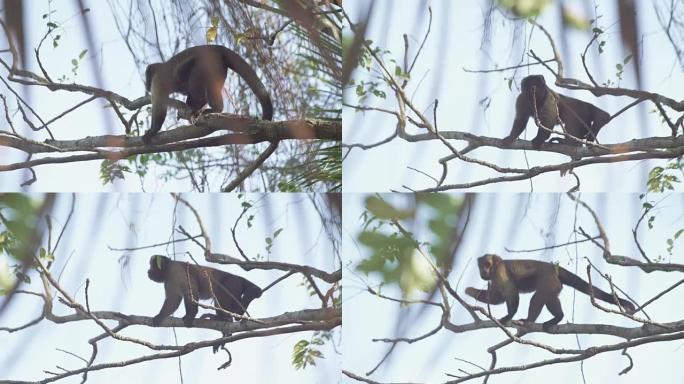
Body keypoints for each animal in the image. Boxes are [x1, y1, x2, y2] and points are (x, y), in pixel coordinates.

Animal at [143, 44, 274, 146]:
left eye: (147, 78)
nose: (146, 85)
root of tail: (216, 47)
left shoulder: (158, 81)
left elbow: (160, 106)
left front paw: (153, 131)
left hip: (208, 62)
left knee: (197, 83)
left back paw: (214, 109)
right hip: (219, 67)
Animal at [464, 254, 636, 328]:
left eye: (487, 264)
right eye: (481, 266)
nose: (483, 271)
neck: (494, 269)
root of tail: (553, 268)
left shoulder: (500, 271)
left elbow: (511, 292)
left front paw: (509, 315)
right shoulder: (493, 279)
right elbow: (495, 298)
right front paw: (469, 291)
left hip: (549, 280)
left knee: (538, 297)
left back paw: (529, 320)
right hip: (555, 284)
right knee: (549, 298)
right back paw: (558, 317)